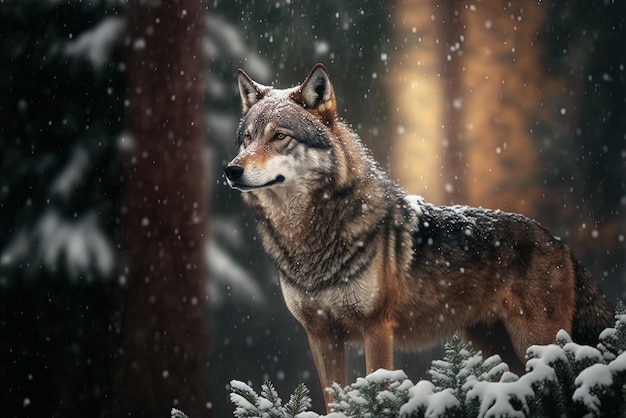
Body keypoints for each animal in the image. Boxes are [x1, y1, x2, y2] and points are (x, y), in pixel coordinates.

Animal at [222, 63, 612, 410]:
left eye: (279, 136)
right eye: (247, 139)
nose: (231, 170)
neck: (308, 237)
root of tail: (560, 242)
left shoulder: (376, 328)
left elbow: (376, 391)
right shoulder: (320, 334)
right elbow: (334, 402)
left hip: (535, 342)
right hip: (495, 346)